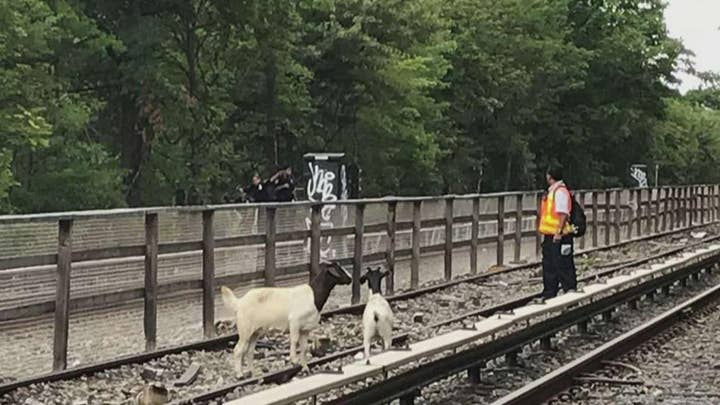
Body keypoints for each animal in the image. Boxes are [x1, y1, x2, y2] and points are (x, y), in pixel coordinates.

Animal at [221, 258, 352, 376]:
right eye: (339, 269)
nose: (350, 279)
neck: (313, 296)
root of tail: (239, 302)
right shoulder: (295, 322)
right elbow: (294, 340)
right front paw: (294, 360)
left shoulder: (305, 329)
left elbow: (304, 348)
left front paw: (305, 368)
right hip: (245, 329)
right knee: (238, 350)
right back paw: (239, 374)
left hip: (256, 331)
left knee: (249, 351)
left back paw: (252, 372)